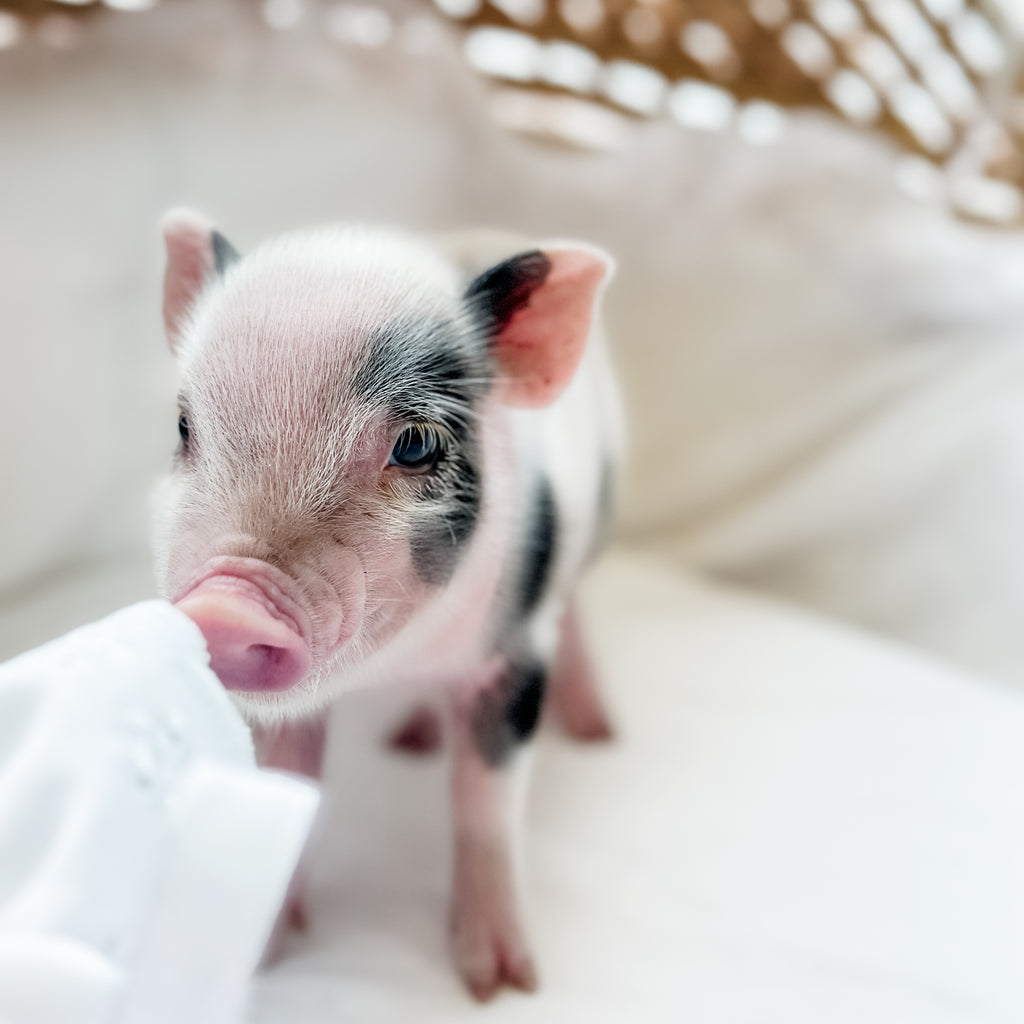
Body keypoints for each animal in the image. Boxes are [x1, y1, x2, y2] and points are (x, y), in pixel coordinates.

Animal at [153, 210, 622, 999]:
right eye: (184, 427)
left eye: (415, 444)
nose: (227, 605)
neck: (399, 662)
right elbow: (291, 786)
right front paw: (261, 960)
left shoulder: (514, 656)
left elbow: (485, 804)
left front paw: (500, 985)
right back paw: (412, 741)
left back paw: (599, 733)